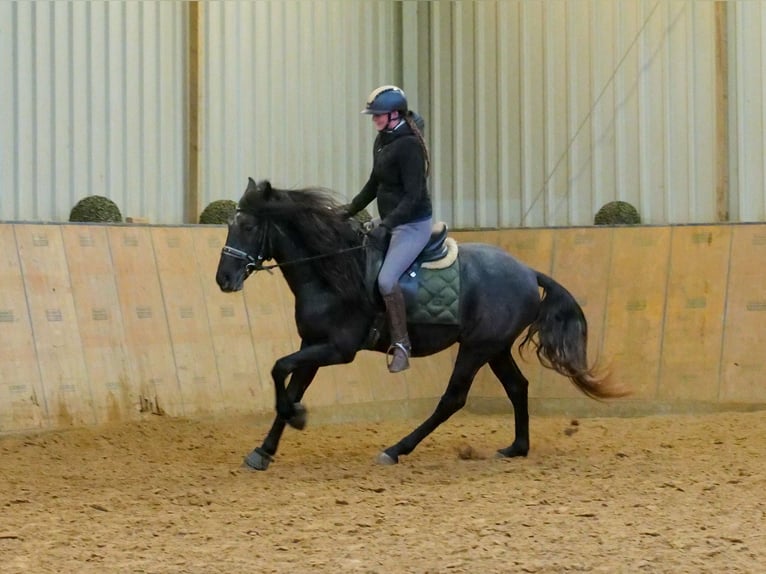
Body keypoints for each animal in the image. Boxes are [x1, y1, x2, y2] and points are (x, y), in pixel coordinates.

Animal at [213, 180, 628, 472]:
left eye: (247, 226)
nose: (224, 279)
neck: (331, 270)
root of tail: (527, 271)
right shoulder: (312, 344)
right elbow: (290, 381)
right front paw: (265, 449)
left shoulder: (337, 349)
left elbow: (278, 367)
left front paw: (295, 418)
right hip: (494, 347)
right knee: (516, 387)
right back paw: (516, 448)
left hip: (476, 348)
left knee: (453, 399)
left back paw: (396, 449)